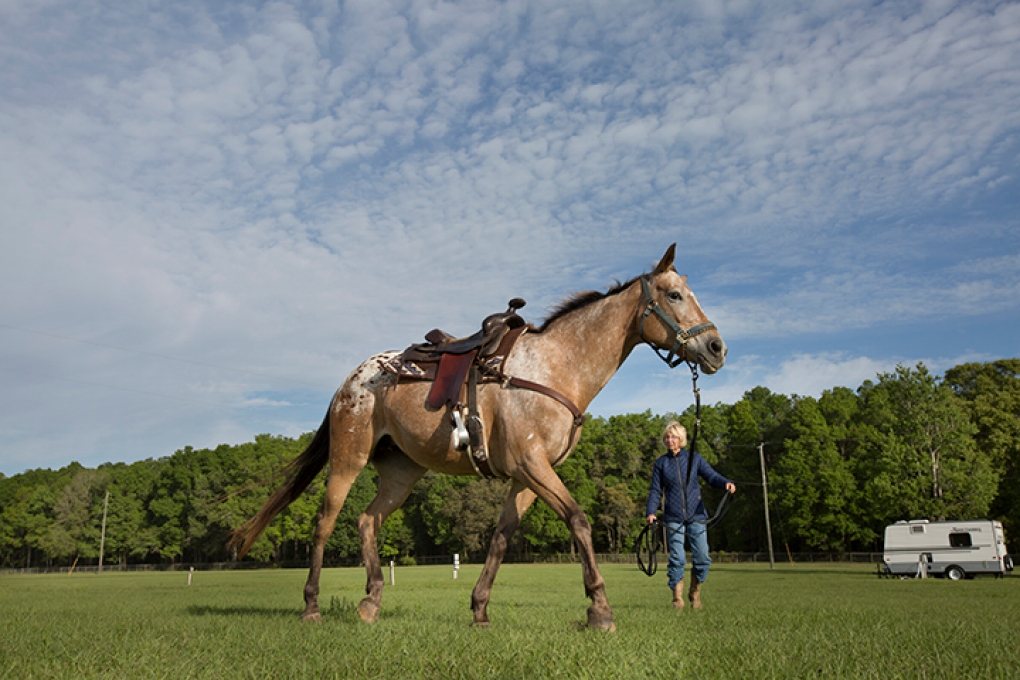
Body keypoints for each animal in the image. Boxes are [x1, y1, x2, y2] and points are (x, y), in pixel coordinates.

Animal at [231, 244, 726, 632]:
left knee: (367, 521)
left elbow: (501, 539)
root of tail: (351, 380)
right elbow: (579, 521)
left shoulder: (526, 478)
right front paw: (599, 609)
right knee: (324, 523)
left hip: (400, 473)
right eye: (675, 294)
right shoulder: (533, 466)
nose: (717, 347)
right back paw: (312, 605)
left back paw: (371, 601)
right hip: (348, 459)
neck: (555, 367)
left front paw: (480, 609)